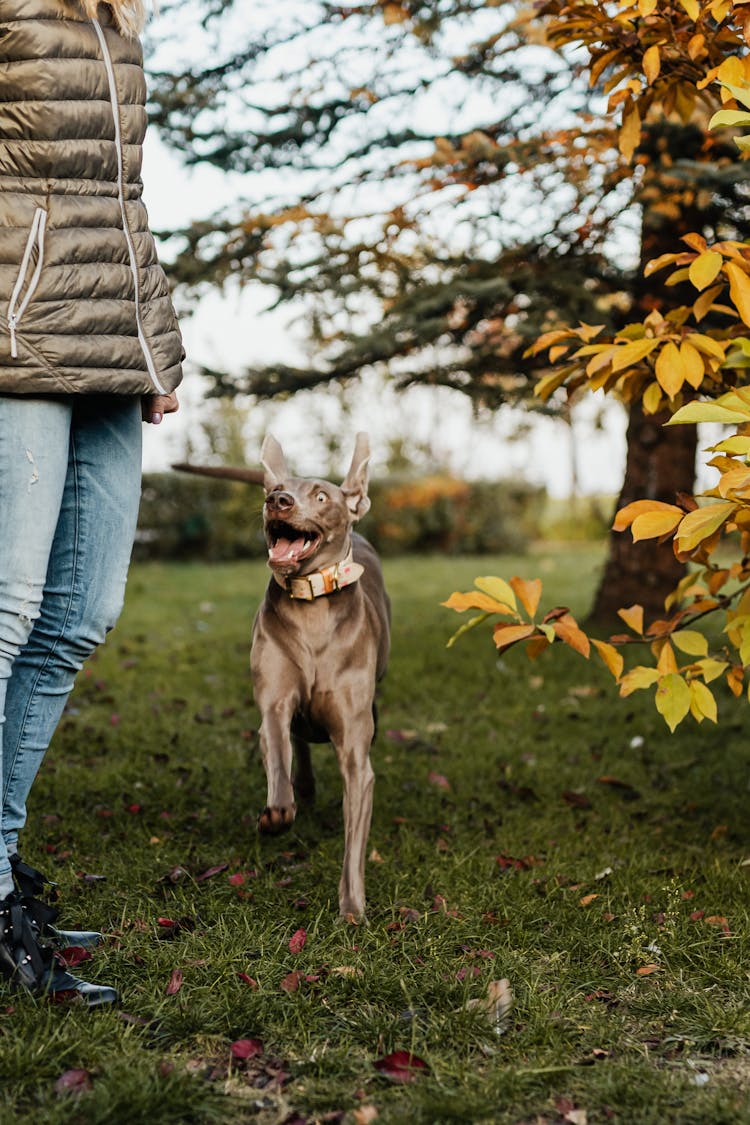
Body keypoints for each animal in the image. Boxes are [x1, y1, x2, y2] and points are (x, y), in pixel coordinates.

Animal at [254, 434, 393, 918]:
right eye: (275, 490)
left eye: (320, 496)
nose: (277, 501)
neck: (312, 607)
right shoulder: (274, 701)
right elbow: (278, 748)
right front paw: (278, 812)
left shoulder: (355, 752)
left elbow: (355, 837)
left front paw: (352, 906)